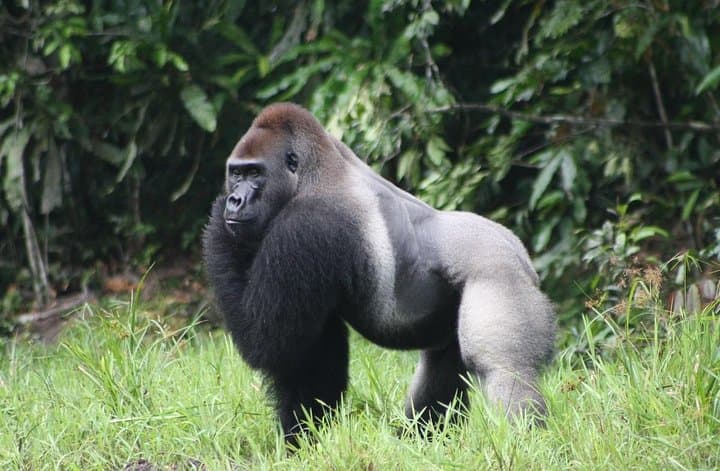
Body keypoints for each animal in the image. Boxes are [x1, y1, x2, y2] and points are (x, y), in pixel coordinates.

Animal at [202, 103, 556, 445]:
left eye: (255, 172)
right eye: (236, 173)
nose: (235, 199)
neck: (314, 174)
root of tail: (520, 254)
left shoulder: (303, 227)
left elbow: (267, 340)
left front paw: (217, 218)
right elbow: (308, 354)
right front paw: (303, 438)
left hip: (499, 274)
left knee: (504, 369)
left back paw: (524, 444)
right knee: (442, 361)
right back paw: (422, 440)